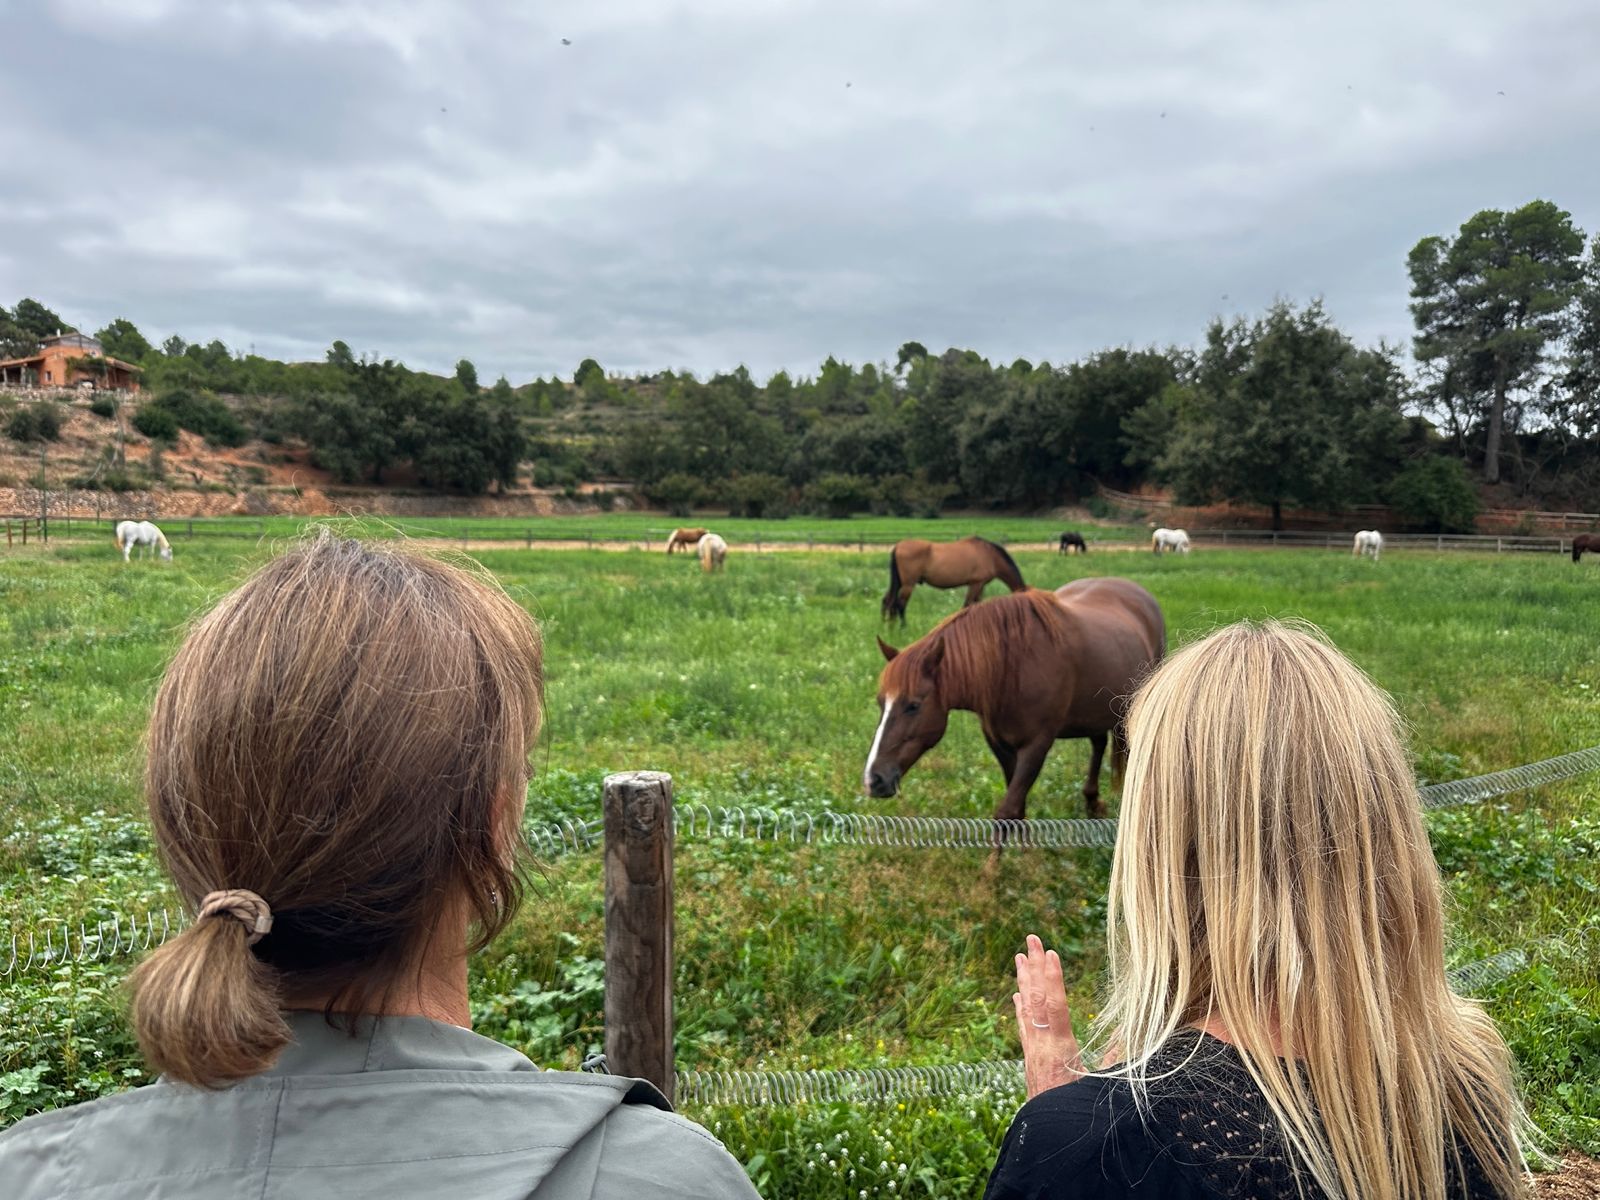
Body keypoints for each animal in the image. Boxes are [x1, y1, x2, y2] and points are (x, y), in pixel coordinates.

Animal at [865, 580, 1165, 820]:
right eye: (880, 702)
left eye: (913, 705)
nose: (873, 779)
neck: (1012, 666)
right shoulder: (999, 743)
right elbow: (1016, 807)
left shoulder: (1036, 746)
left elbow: (1007, 809)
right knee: (1098, 744)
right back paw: (1091, 801)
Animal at [882, 537, 1025, 622]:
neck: (990, 555)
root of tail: (898, 546)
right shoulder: (975, 584)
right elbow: (967, 605)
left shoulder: (981, 585)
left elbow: (976, 605)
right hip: (908, 585)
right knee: (900, 605)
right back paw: (902, 628)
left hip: (899, 583)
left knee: (888, 602)